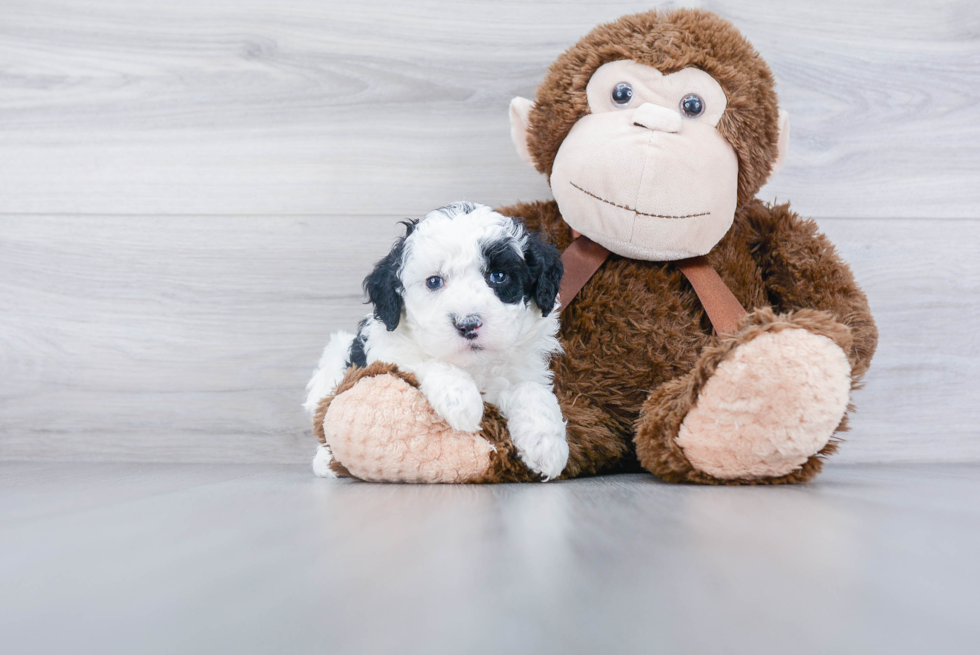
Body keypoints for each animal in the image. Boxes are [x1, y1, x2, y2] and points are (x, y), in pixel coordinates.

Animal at [304, 205, 568, 482]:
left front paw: (546, 446)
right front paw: (461, 400)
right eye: (434, 281)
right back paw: (325, 462)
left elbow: (532, 390)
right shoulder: (389, 352)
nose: (468, 324)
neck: (473, 365)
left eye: (499, 276)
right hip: (333, 359)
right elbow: (425, 361)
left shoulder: (526, 368)